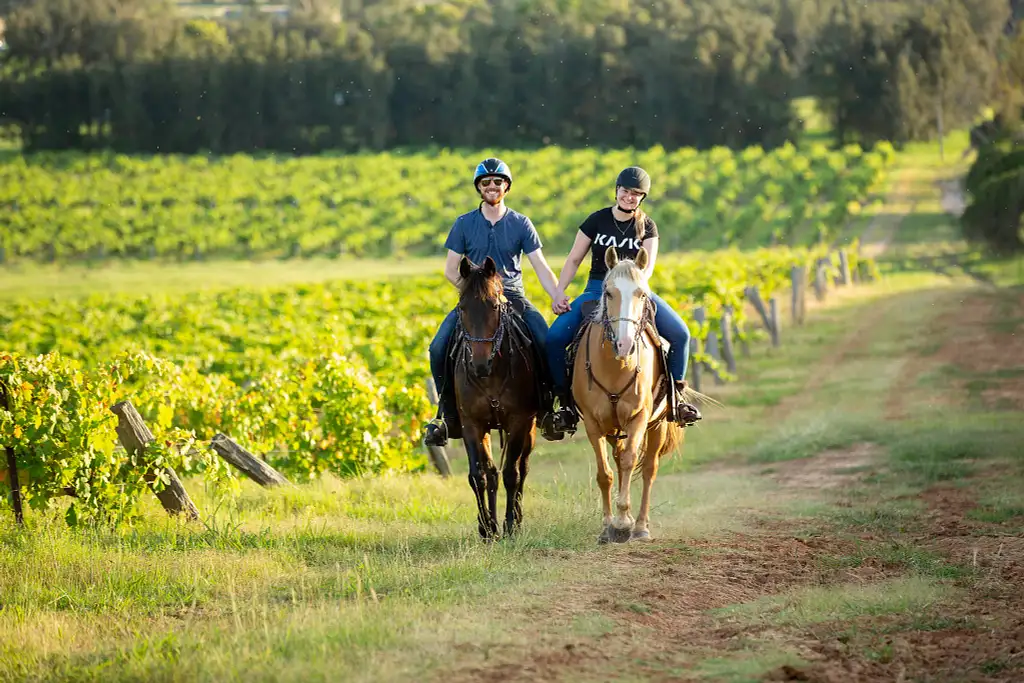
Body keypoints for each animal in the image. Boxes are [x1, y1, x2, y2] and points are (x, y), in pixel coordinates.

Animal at [452, 254, 540, 540]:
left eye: (493, 306)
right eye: (462, 307)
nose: (480, 365)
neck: (489, 376)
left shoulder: (518, 421)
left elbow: (512, 473)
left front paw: (510, 525)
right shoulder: (471, 424)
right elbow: (479, 475)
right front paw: (487, 527)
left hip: (530, 428)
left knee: (523, 468)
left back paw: (518, 519)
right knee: (491, 473)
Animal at [573, 245, 684, 544]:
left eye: (642, 293)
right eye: (609, 292)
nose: (624, 344)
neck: (617, 365)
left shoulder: (639, 418)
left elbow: (631, 461)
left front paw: (624, 522)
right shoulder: (593, 423)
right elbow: (605, 473)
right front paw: (608, 526)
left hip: (658, 424)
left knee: (648, 469)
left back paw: (641, 526)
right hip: (614, 429)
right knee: (619, 461)